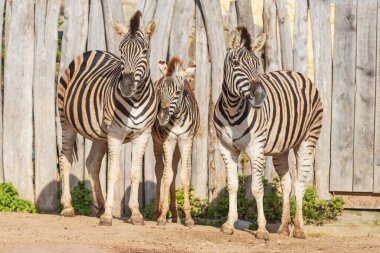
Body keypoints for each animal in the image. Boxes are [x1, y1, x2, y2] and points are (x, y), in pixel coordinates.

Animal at [56, 11, 157, 225]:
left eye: (145, 51)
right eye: (121, 50)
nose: (126, 87)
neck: (135, 100)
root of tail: (91, 51)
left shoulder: (143, 134)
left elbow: (135, 172)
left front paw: (135, 214)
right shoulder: (115, 133)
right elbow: (113, 171)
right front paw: (108, 215)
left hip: (100, 134)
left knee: (92, 163)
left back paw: (100, 205)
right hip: (66, 121)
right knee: (65, 159)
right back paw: (68, 207)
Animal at [151, 56, 199, 227]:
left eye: (178, 92)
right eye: (161, 91)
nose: (161, 118)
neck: (177, 118)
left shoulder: (186, 140)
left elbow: (184, 175)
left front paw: (189, 217)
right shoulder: (168, 140)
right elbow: (167, 176)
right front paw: (162, 216)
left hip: (178, 146)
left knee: (173, 169)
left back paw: (175, 215)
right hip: (156, 141)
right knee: (160, 169)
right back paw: (157, 213)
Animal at [212, 27, 322, 239]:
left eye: (257, 65)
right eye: (236, 64)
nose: (259, 96)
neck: (232, 109)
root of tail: (298, 73)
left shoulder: (256, 149)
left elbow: (257, 189)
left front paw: (261, 229)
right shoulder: (226, 148)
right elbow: (232, 185)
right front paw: (229, 224)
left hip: (307, 141)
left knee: (300, 184)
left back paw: (298, 228)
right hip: (281, 149)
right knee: (287, 183)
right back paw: (284, 227)